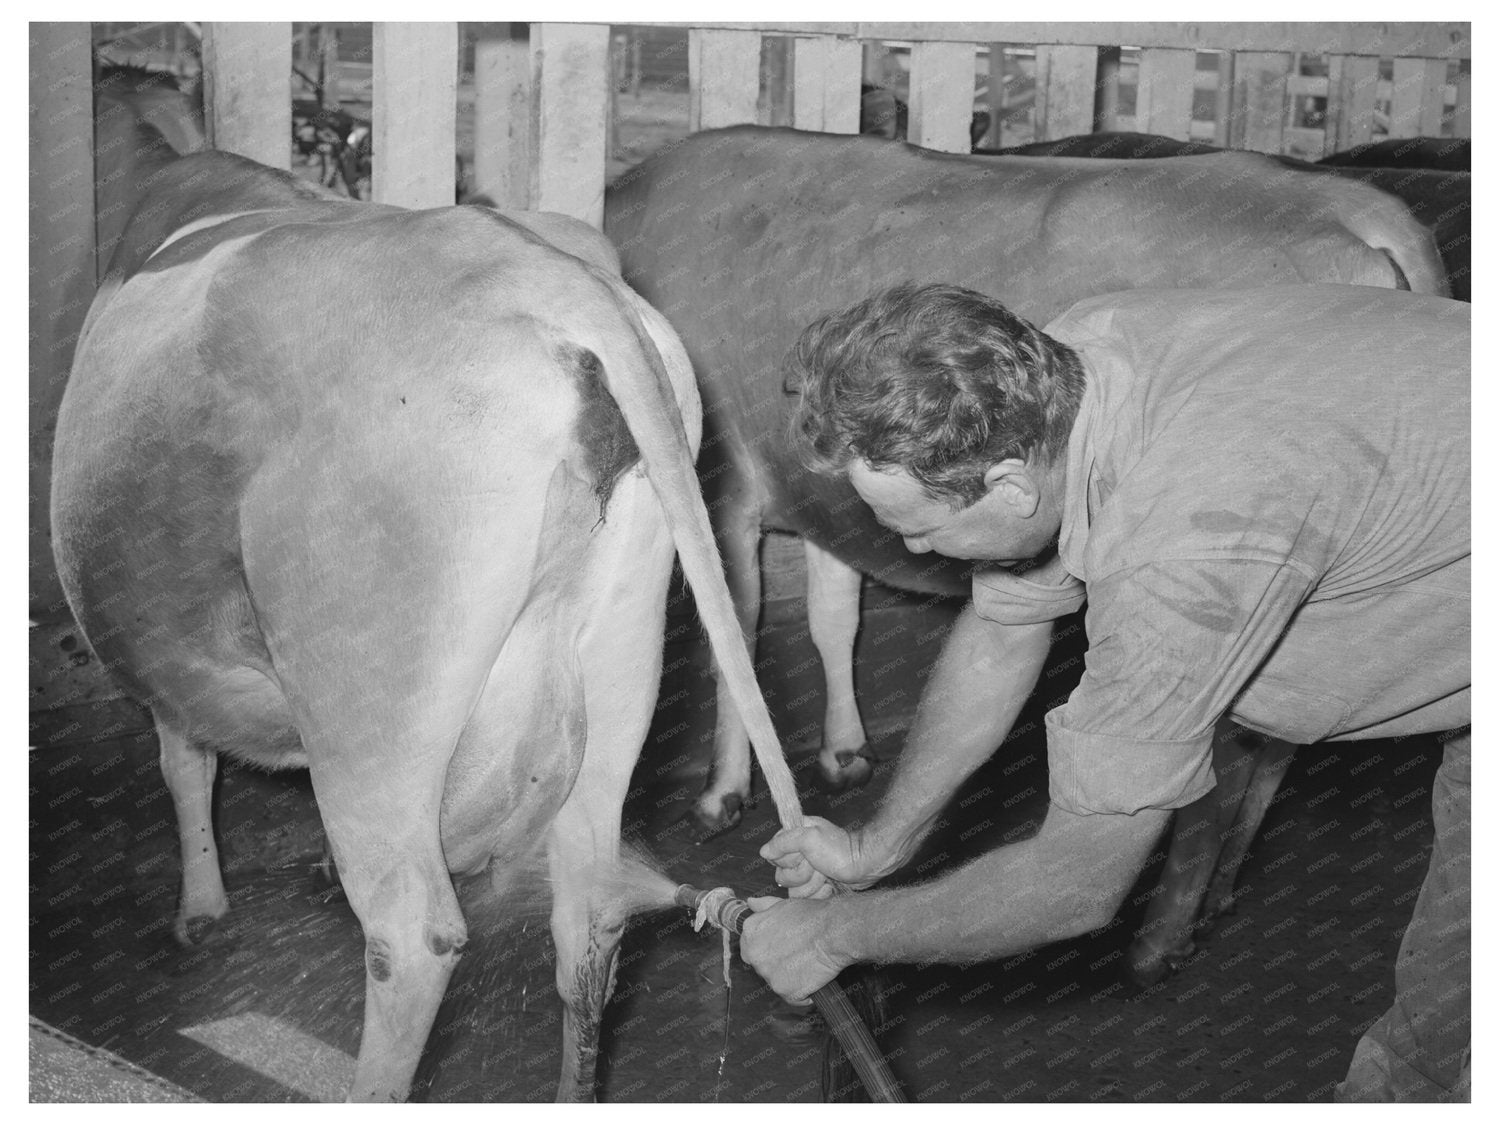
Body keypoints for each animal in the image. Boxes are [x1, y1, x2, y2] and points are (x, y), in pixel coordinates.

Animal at [603, 121, 1446, 984]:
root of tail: (1351, 205)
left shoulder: (717, 481)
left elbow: (731, 636)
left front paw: (722, 794)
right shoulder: (823, 493)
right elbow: (833, 619)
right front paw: (843, 753)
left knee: (1227, 760)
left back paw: (1160, 938)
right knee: (1278, 745)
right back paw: (1215, 899)